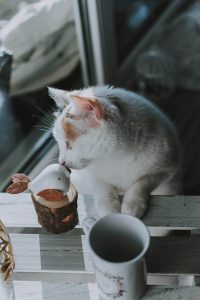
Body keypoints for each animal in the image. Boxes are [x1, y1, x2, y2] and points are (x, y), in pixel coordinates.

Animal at [48, 84, 181, 218]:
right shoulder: (86, 176)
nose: (61, 162)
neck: (115, 157)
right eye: (59, 142)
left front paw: (133, 203)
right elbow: (99, 184)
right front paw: (109, 207)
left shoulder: (166, 170)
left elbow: (142, 182)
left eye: (68, 144)